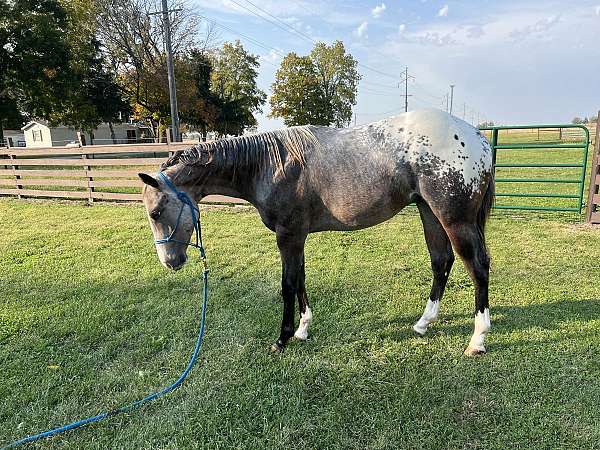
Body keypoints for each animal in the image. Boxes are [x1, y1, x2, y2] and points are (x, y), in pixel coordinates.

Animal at [138, 108, 494, 356]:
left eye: (155, 213)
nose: (169, 261)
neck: (269, 165)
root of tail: (477, 138)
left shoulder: (288, 236)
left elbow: (288, 284)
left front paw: (282, 338)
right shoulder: (298, 237)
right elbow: (301, 279)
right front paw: (302, 329)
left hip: (455, 220)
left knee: (477, 267)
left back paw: (477, 340)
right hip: (429, 212)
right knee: (441, 261)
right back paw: (423, 323)